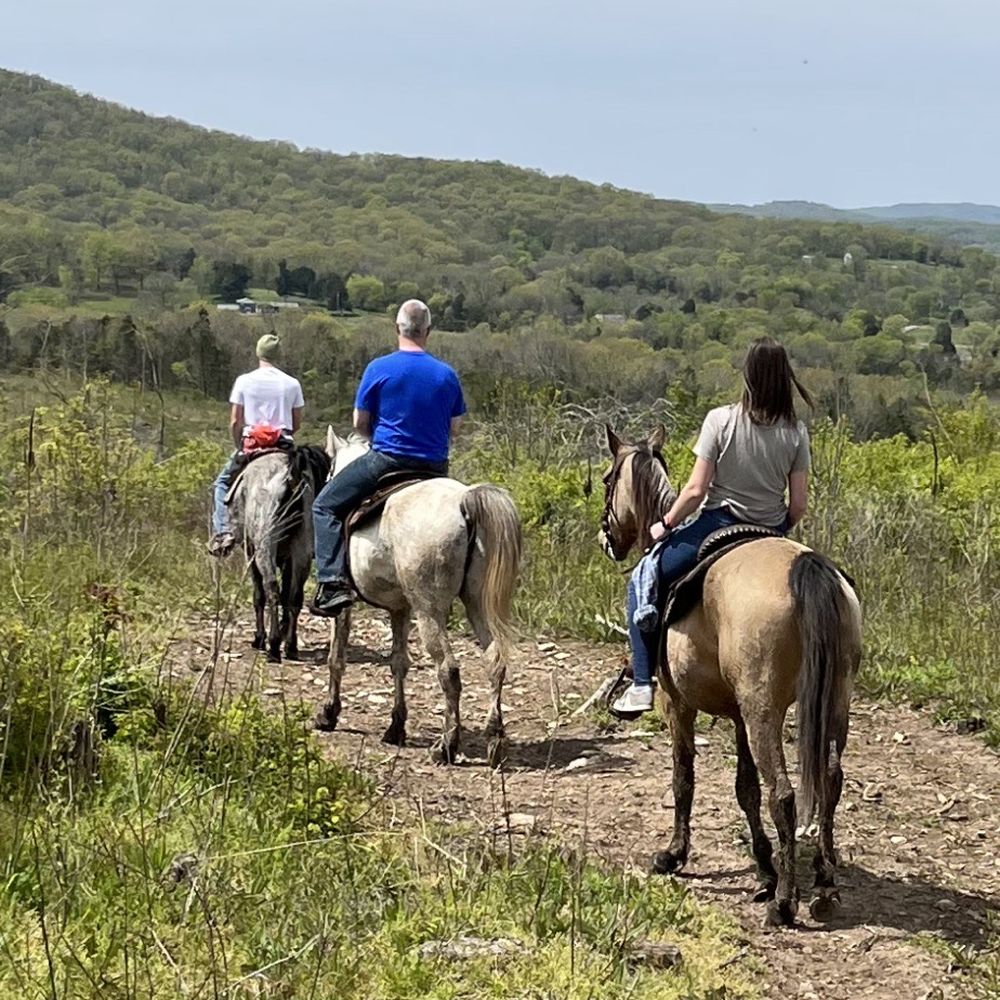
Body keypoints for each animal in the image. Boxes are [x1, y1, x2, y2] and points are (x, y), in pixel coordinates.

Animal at [225, 446, 330, 664]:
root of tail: (291, 476)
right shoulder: (289, 559)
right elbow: (287, 594)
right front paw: (283, 630)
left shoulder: (251, 553)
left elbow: (259, 595)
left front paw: (260, 638)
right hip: (301, 552)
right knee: (295, 596)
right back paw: (291, 645)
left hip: (264, 548)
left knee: (271, 589)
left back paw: (273, 646)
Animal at [316, 430, 524, 764]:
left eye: (330, 471)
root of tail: (465, 501)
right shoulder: (400, 608)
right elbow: (399, 662)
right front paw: (395, 727)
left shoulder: (344, 607)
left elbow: (337, 658)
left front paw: (329, 714)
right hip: (476, 603)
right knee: (495, 661)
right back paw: (494, 740)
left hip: (429, 610)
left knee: (449, 670)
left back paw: (447, 745)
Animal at [596, 426, 864, 924]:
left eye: (606, 479)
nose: (607, 538)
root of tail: (807, 567)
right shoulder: (739, 715)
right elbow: (745, 788)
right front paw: (763, 868)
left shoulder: (679, 705)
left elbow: (684, 777)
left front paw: (674, 854)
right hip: (833, 702)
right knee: (830, 781)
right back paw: (824, 883)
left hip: (764, 711)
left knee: (784, 793)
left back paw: (785, 903)